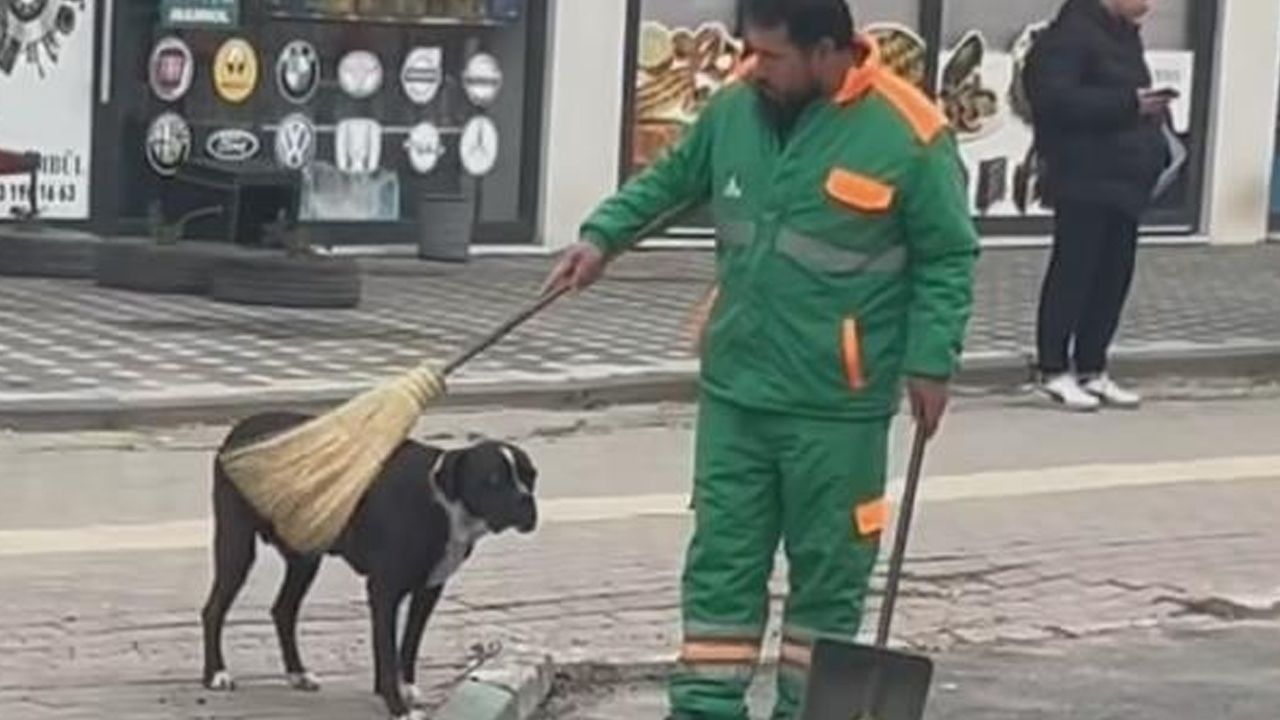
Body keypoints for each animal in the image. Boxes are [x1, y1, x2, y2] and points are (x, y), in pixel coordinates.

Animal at [200, 409, 540, 717]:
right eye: (493, 480)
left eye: (531, 476)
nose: (526, 500)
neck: (445, 501)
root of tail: (238, 431)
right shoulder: (384, 590)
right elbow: (387, 651)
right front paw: (397, 705)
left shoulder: (428, 590)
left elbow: (409, 644)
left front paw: (405, 689)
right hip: (236, 547)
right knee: (214, 610)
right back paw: (216, 673)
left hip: (304, 558)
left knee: (283, 610)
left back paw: (298, 673)